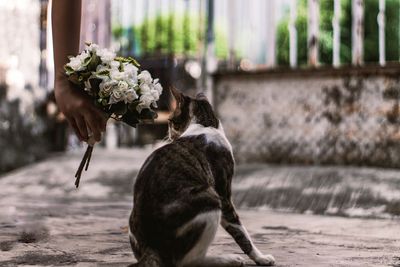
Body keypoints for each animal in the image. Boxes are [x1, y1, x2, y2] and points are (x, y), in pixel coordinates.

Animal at [128, 88, 276, 267]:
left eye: (170, 121)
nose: (168, 134)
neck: (205, 124)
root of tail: (151, 248)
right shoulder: (223, 195)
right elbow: (241, 232)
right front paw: (261, 257)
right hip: (209, 198)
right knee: (189, 261)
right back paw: (228, 259)